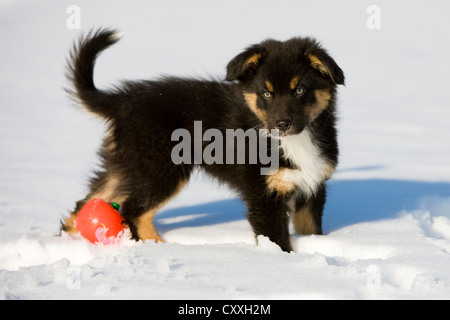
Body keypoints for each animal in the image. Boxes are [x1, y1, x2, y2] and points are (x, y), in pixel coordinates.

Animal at [61, 28, 344, 252]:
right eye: (266, 93)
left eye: (300, 90)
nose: (282, 124)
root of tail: (122, 101)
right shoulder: (263, 194)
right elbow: (277, 241)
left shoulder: (312, 185)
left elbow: (310, 229)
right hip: (161, 168)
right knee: (133, 210)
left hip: (127, 163)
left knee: (87, 202)